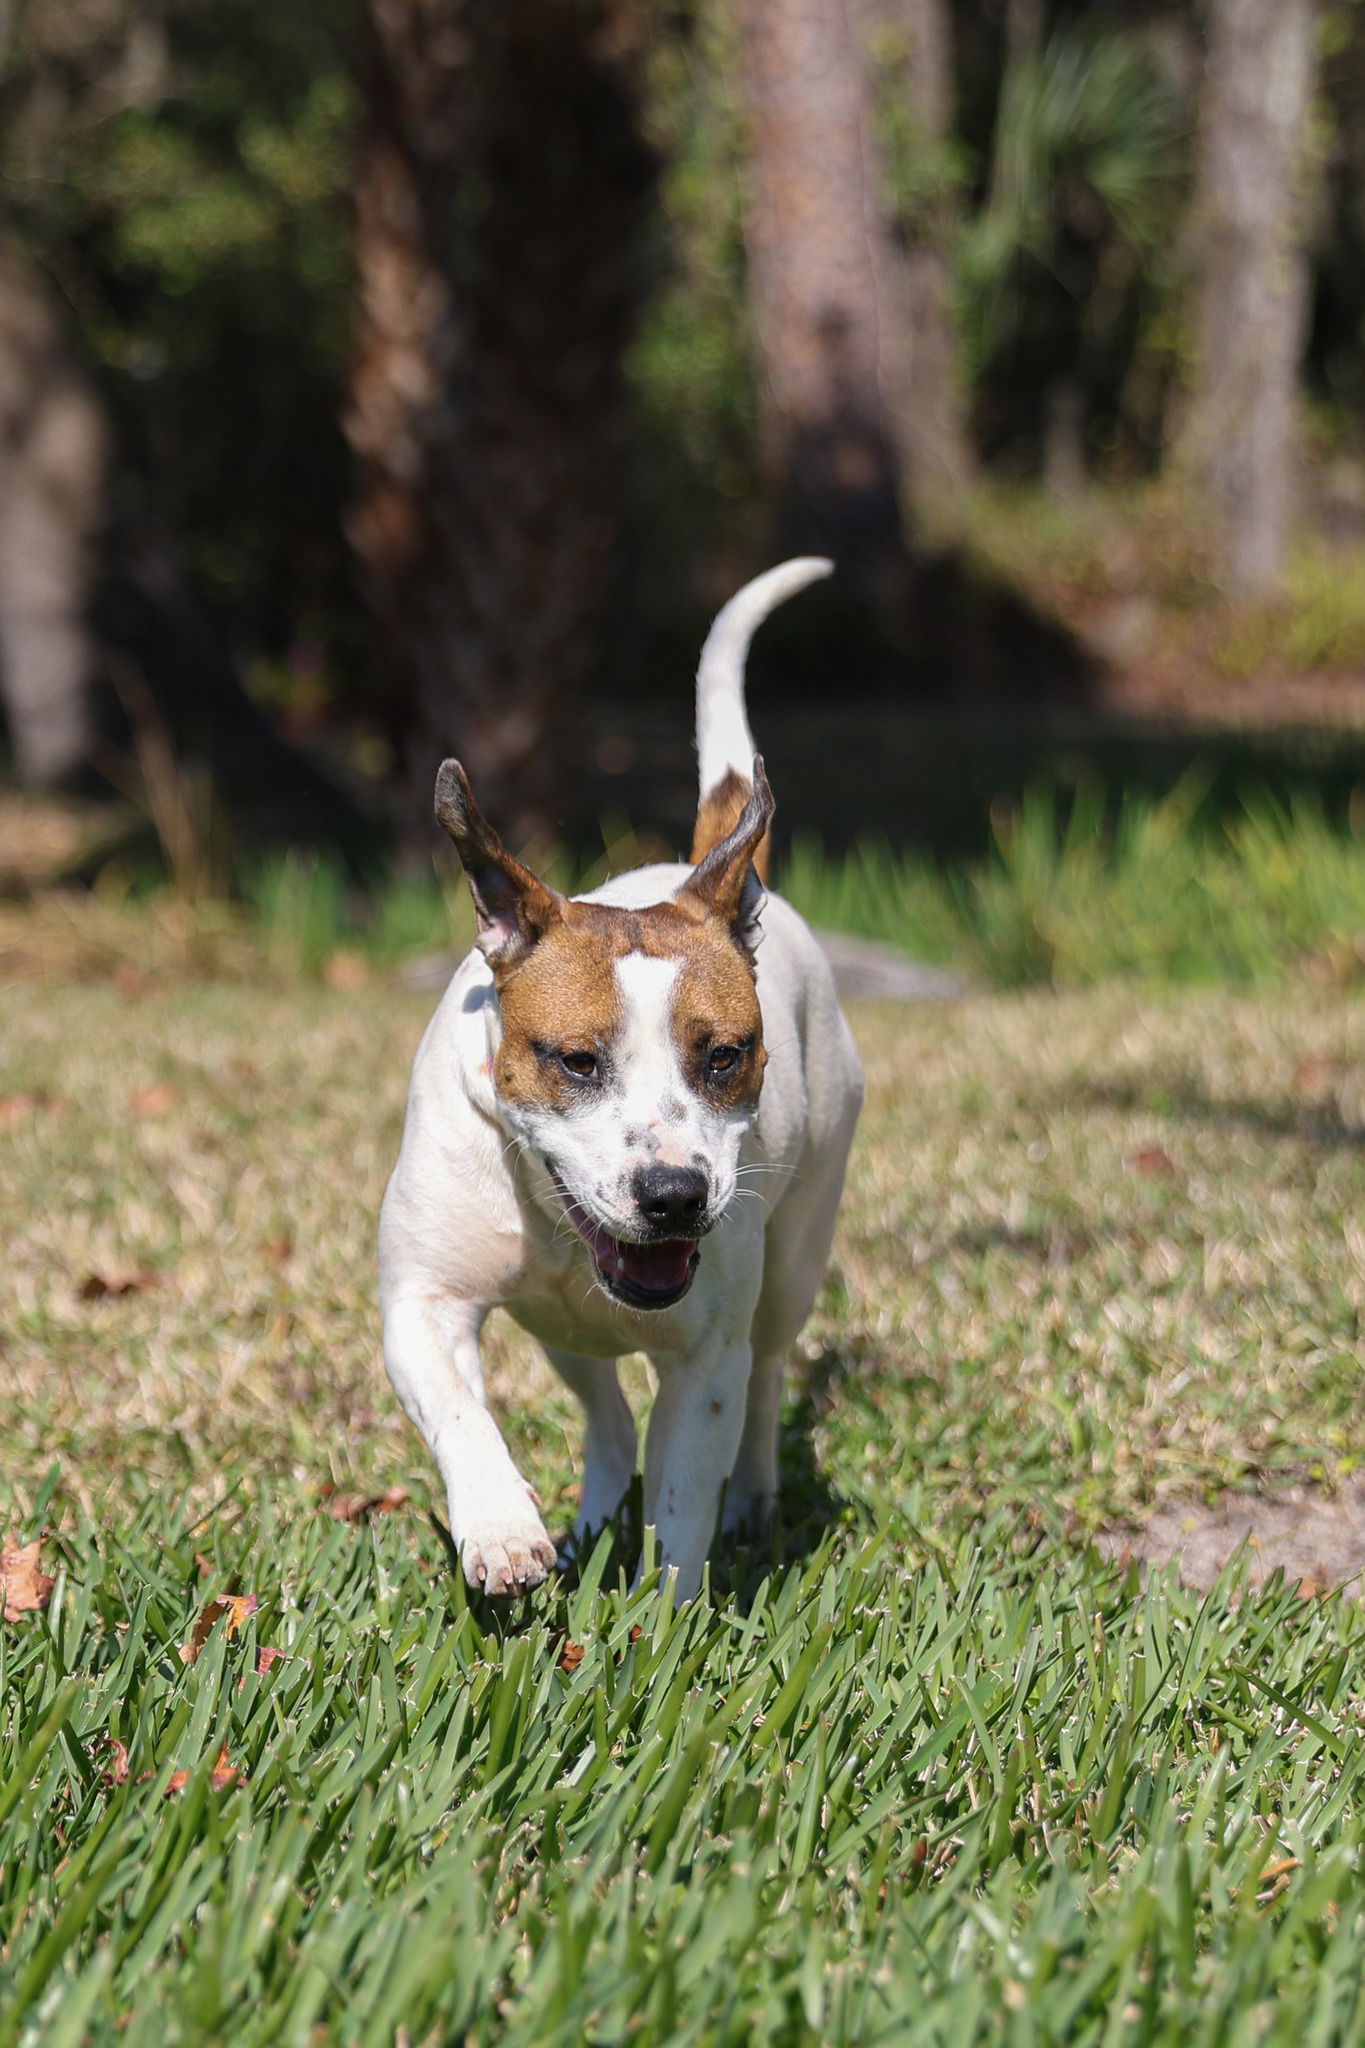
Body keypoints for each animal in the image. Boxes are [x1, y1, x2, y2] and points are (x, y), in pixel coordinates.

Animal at [378, 561, 859, 1597]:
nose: (673, 1195)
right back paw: (591, 1510)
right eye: (576, 1060)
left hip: (797, 1251)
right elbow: (457, 1405)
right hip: (561, 1331)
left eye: (723, 1056)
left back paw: (754, 1498)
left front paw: (664, 1621)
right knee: (602, 1407)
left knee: (766, 1371)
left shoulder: (705, 1359)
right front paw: (498, 1525)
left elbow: (683, 1501)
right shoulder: (422, 1300)